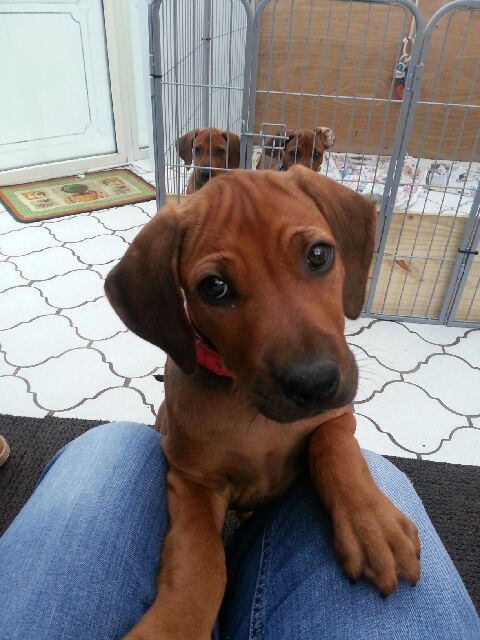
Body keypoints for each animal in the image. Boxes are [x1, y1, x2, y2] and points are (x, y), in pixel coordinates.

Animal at [106, 168, 420, 636]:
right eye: (214, 288)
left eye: (318, 255)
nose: (314, 383)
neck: (254, 414)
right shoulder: (190, 477)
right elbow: (201, 557)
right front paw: (174, 624)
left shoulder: (337, 415)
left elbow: (335, 448)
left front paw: (373, 525)